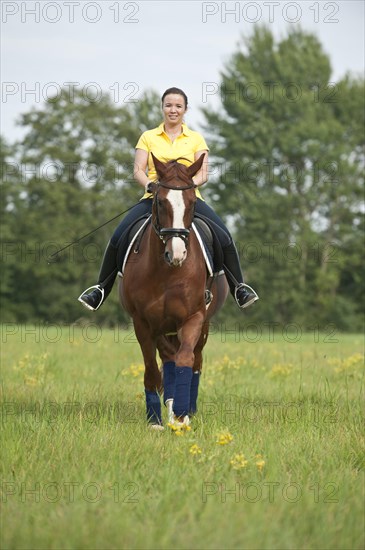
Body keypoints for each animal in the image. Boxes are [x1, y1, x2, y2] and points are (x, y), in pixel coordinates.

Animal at [119, 155, 228, 432]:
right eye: (160, 200)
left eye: (191, 202)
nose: (177, 253)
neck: (167, 271)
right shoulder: (144, 322)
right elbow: (151, 368)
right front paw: (156, 419)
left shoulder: (193, 318)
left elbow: (185, 360)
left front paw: (180, 415)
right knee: (166, 360)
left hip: (203, 325)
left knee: (195, 361)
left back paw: (186, 408)